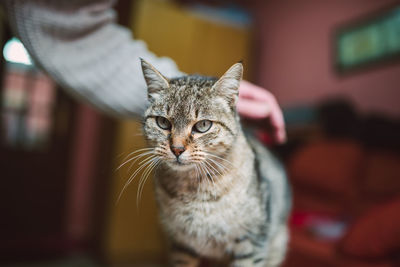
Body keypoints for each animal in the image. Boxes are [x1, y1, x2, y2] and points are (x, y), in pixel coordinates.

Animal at [139, 59, 290, 266]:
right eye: (163, 122)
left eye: (203, 125)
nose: (176, 149)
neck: (194, 189)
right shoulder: (181, 245)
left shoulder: (251, 244)